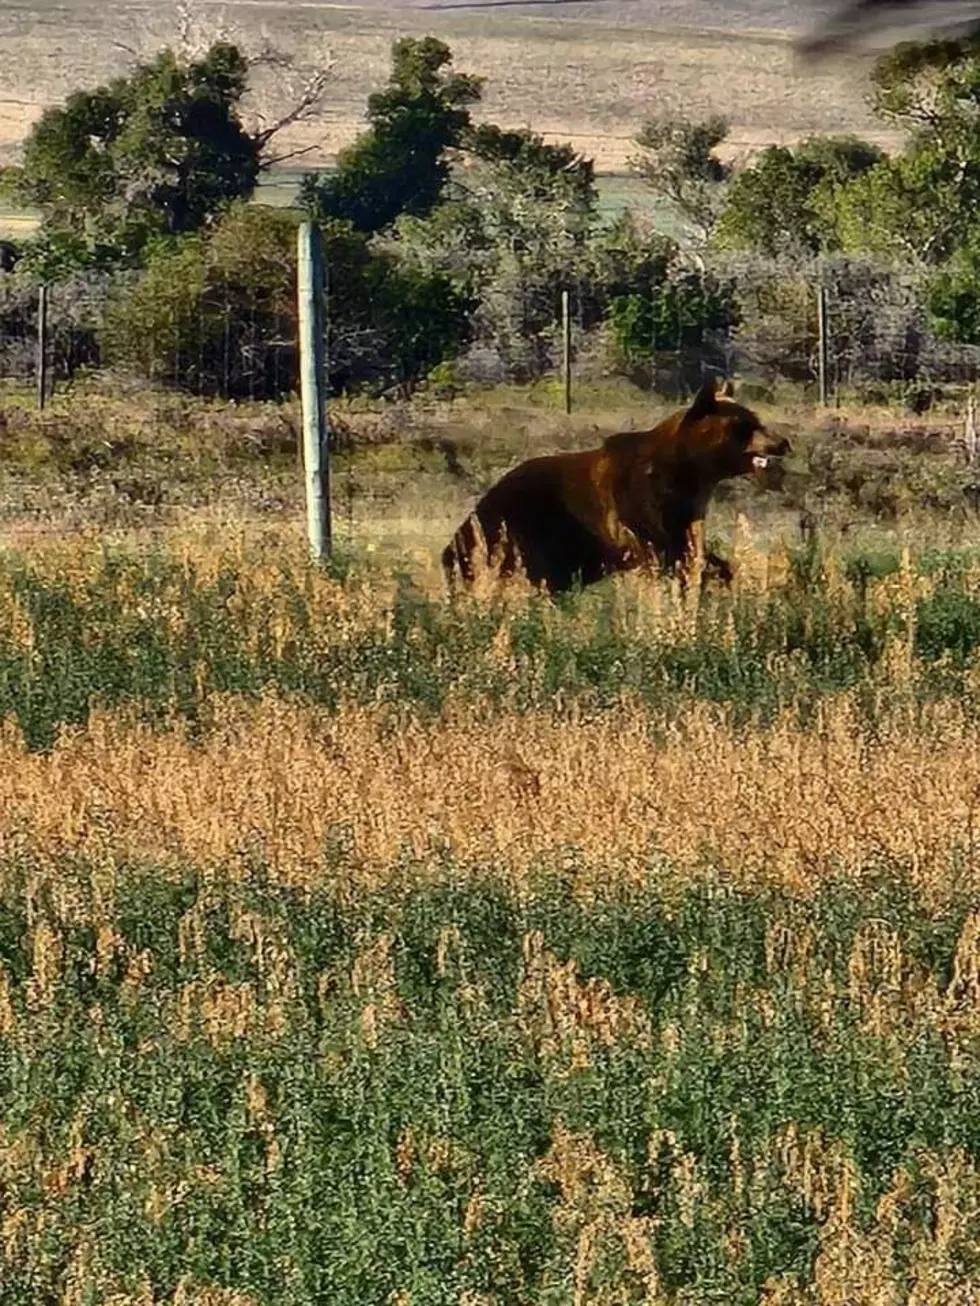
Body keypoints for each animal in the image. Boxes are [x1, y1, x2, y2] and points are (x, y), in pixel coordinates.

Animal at [444, 378, 789, 598]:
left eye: (757, 419)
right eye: (744, 425)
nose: (782, 442)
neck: (689, 472)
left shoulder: (686, 509)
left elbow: (693, 551)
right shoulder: (637, 502)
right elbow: (660, 549)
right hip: (519, 526)